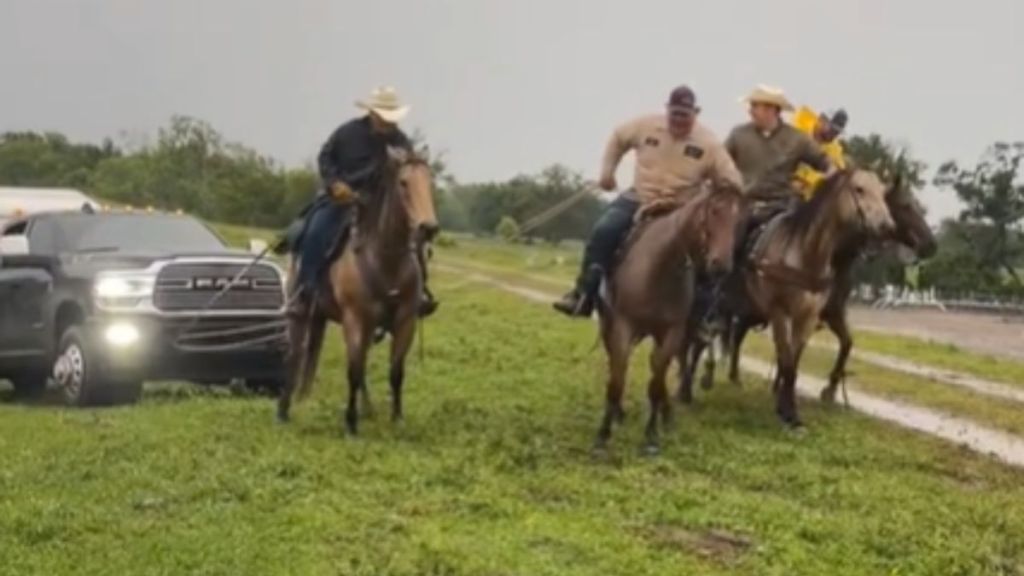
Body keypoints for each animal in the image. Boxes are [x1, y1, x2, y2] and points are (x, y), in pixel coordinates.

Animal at [278, 145, 438, 432]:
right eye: (403, 183)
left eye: (429, 182)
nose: (428, 227)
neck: (385, 258)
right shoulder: (355, 319)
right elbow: (352, 370)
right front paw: (350, 423)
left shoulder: (405, 321)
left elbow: (395, 372)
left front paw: (397, 418)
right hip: (302, 312)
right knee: (295, 354)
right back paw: (284, 409)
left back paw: (368, 409)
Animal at [593, 183, 745, 453]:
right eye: (714, 211)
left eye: (739, 220)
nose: (721, 265)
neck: (659, 268)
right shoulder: (623, 326)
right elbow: (617, 380)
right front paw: (603, 436)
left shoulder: (673, 333)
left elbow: (657, 381)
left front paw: (652, 436)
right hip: (609, 326)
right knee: (617, 366)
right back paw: (620, 413)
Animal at [712, 168, 897, 424]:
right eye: (859, 189)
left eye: (883, 192)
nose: (887, 226)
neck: (805, 255)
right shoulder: (780, 313)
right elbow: (787, 361)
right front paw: (788, 412)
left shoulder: (809, 317)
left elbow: (795, 360)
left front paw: (788, 407)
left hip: (753, 310)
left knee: (738, 335)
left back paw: (735, 377)